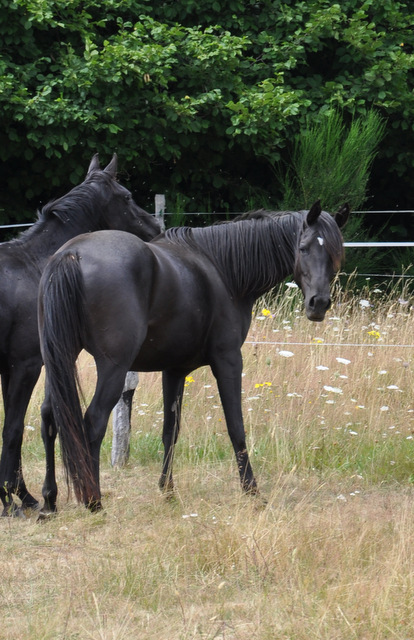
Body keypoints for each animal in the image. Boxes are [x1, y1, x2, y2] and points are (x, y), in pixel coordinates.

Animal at [0, 154, 160, 516]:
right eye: (126, 196)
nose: (155, 227)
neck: (35, 263)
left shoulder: (23, 367)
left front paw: (24, 496)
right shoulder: (25, 366)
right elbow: (14, 429)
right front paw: (15, 499)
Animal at [38, 200, 350, 510]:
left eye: (335, 252)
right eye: (304, 248)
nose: (319, 304)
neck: (223, 270)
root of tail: (72, 254)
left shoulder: (174, 370)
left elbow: (170, 431)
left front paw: (167, 490)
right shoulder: (228, 360)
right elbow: (236, 427)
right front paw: (251, 489)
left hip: (60, 360)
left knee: (50, 418)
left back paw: (49, 500)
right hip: (113, 368)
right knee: (93, 422)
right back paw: (93, 500)